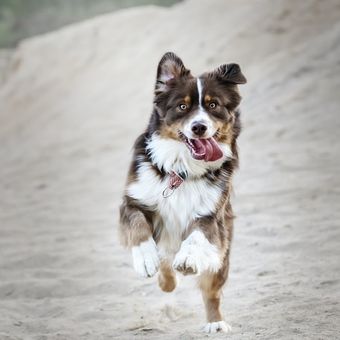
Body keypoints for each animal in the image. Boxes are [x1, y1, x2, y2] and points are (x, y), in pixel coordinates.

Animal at [119, 51, 247, 334]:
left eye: (213, 105)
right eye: (182, 107)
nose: (199, 127)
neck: (181, 170)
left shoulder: (212, 216)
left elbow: (197, 236)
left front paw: (188, 259)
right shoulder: (133, 201)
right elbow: (138, 226)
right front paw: (146, 259)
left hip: (222, 255)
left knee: (211, 291)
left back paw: (215, 322)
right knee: (166, 265)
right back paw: (165, 278)